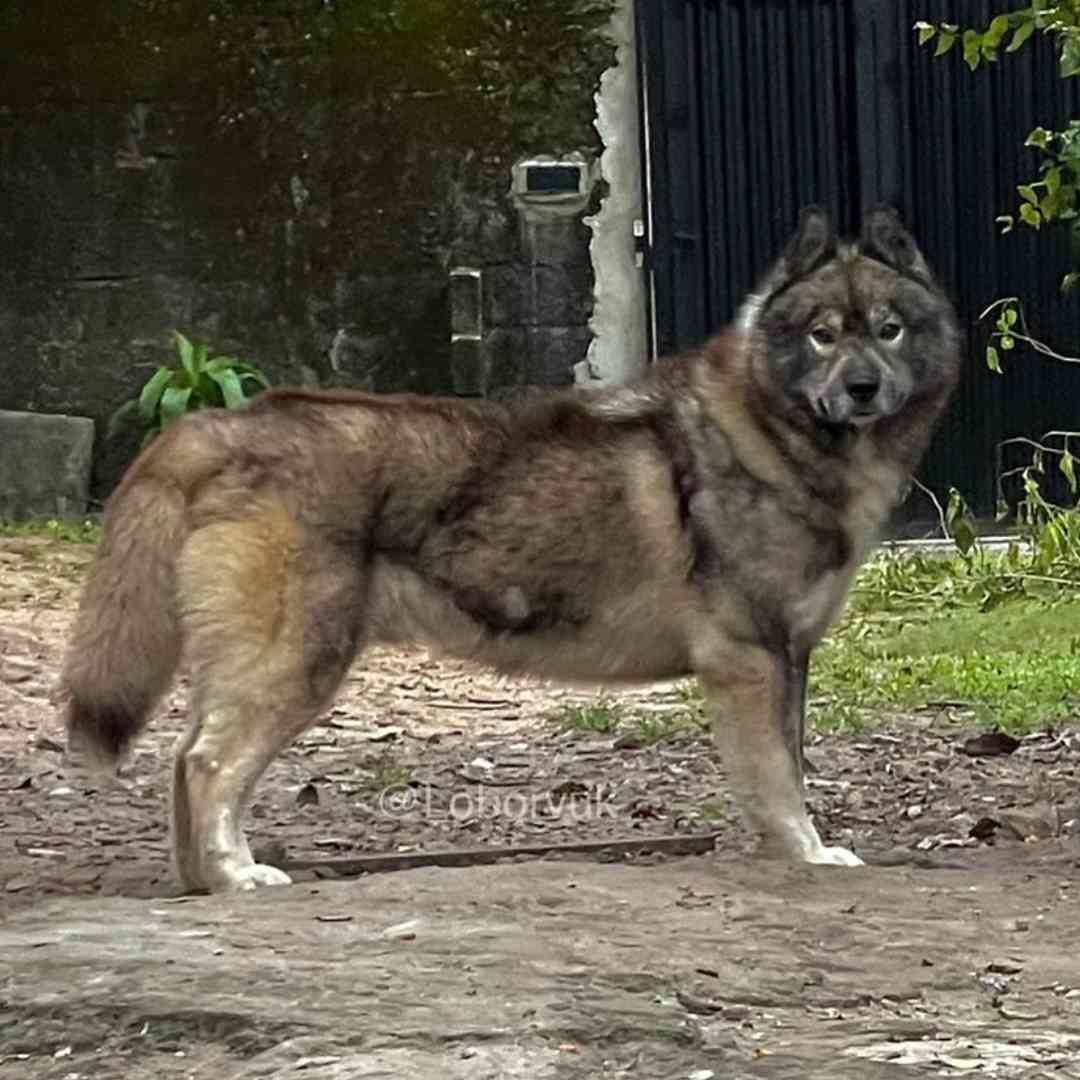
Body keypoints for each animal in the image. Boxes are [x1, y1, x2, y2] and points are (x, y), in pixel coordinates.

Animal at [61, 206, 963, 889]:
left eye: (889, 329)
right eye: (821, 335)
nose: (862, 388)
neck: (773, 435)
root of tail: (219, 424)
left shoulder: (790, 658)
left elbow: (791, 766)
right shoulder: (749, 660)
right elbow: (779, 780)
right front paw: (809, 855)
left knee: (183, 764)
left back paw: (201, 882)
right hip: (295, 665)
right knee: (206, 765)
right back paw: (236, 877)